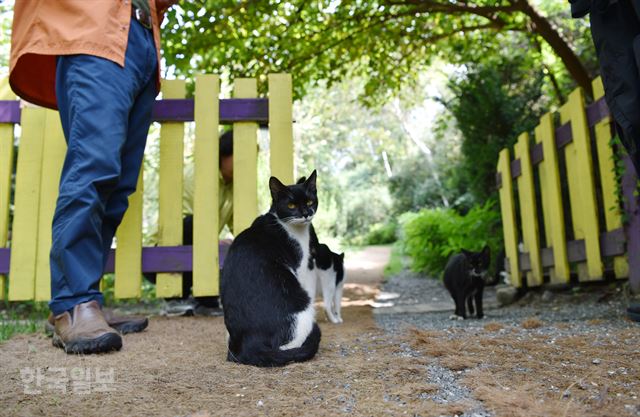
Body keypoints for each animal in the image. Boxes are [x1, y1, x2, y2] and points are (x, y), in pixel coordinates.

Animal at [220, 169, 320, 364]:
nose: (306, 213)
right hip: (301, 304)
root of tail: (249, 344)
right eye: (291, 205)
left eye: (310, 201)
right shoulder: (302, 268)